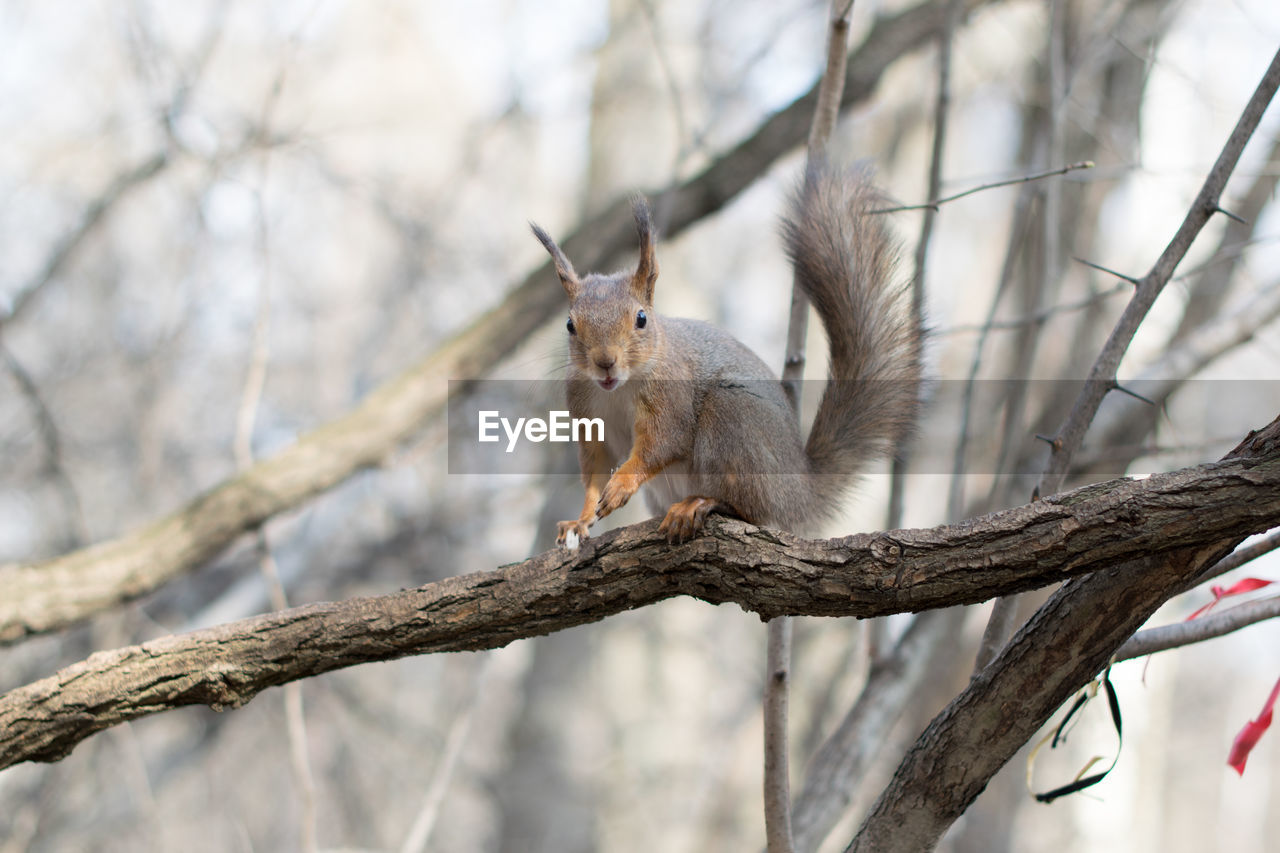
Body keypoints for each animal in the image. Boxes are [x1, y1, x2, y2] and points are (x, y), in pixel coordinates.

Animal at [529, 166, 921, 545]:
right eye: (570, 325)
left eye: (641, 318)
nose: (605, 362)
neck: (619, 388)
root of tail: (799, 492)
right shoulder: (586, 411)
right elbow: (594, 471)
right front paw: (580, 520)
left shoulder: (672, 398)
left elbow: (662, 441)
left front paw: (623, 482)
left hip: (732, 420)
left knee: (750, 507)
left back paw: (700, 503)